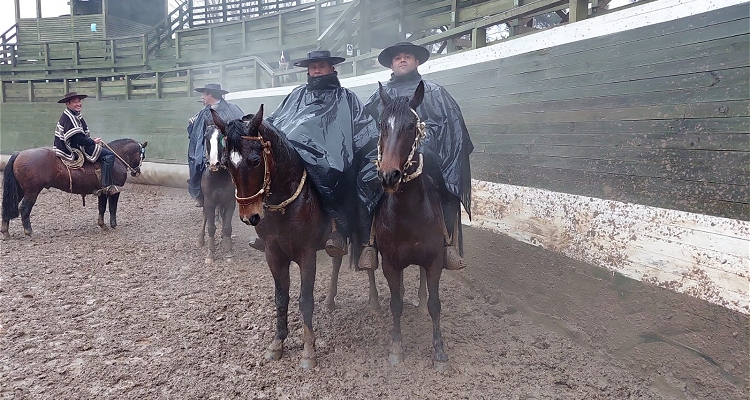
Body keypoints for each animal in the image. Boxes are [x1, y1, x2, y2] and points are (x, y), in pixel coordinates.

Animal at [2, 139, 148, 239]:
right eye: (142, 156)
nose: (137, 172)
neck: (116, 159)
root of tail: (19, 154)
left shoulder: (102, 192)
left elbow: (102, 208)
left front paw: (102, 225)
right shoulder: (115, 190)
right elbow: (112, 208)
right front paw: (113, 225)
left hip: (20, 191)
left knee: (9, 206)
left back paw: (5, 231)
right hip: (32, 191)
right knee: (24, 208)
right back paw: (29, 232)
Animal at [213, 105, 382, 368]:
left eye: (255, 161)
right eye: (226, 164)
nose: (249, 216)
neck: (288, 203)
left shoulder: (306, 254)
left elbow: (305, 300)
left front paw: (308, 350)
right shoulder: (274, 254)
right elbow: (281, 298)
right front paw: (277, 343)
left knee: (367, 262)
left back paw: (374, 302)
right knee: (337, 258)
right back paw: (330, 300)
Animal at [376, 79, 452, 370]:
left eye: (411, 126)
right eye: (382, 125)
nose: (389, 175)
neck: (408, 215)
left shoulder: (434, 261)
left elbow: (435, 304)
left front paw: (439, 350)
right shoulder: (389, 263)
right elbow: (395, 303)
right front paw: (396, 347)